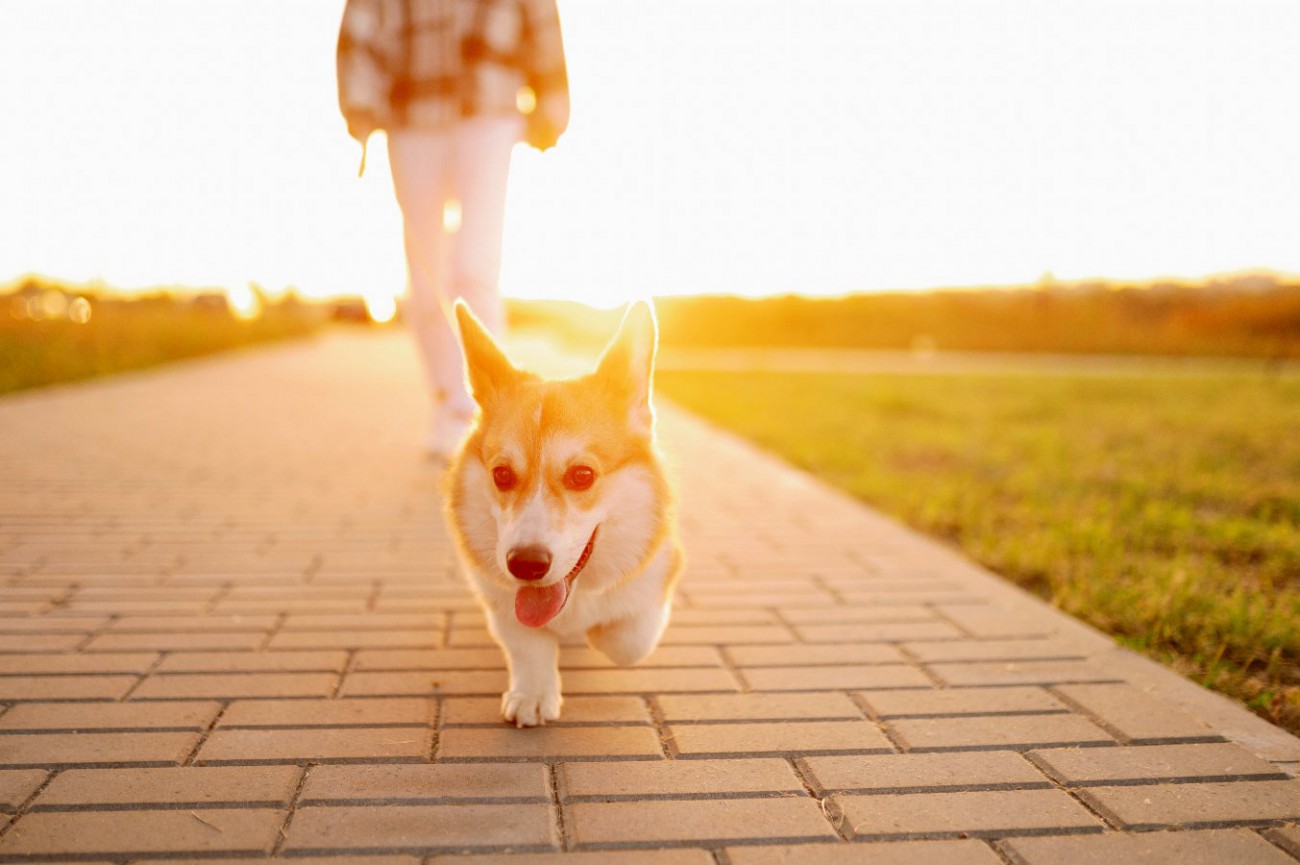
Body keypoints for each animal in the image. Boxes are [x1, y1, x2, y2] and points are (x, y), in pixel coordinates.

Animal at [447, 300, 686, 723]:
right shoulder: (500, 602)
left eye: (582, 475)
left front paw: (595, 634)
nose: (525, 565)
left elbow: (628, 640)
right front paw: (532, 694)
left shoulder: (661, 575)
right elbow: (528, 644)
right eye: (501, 474)